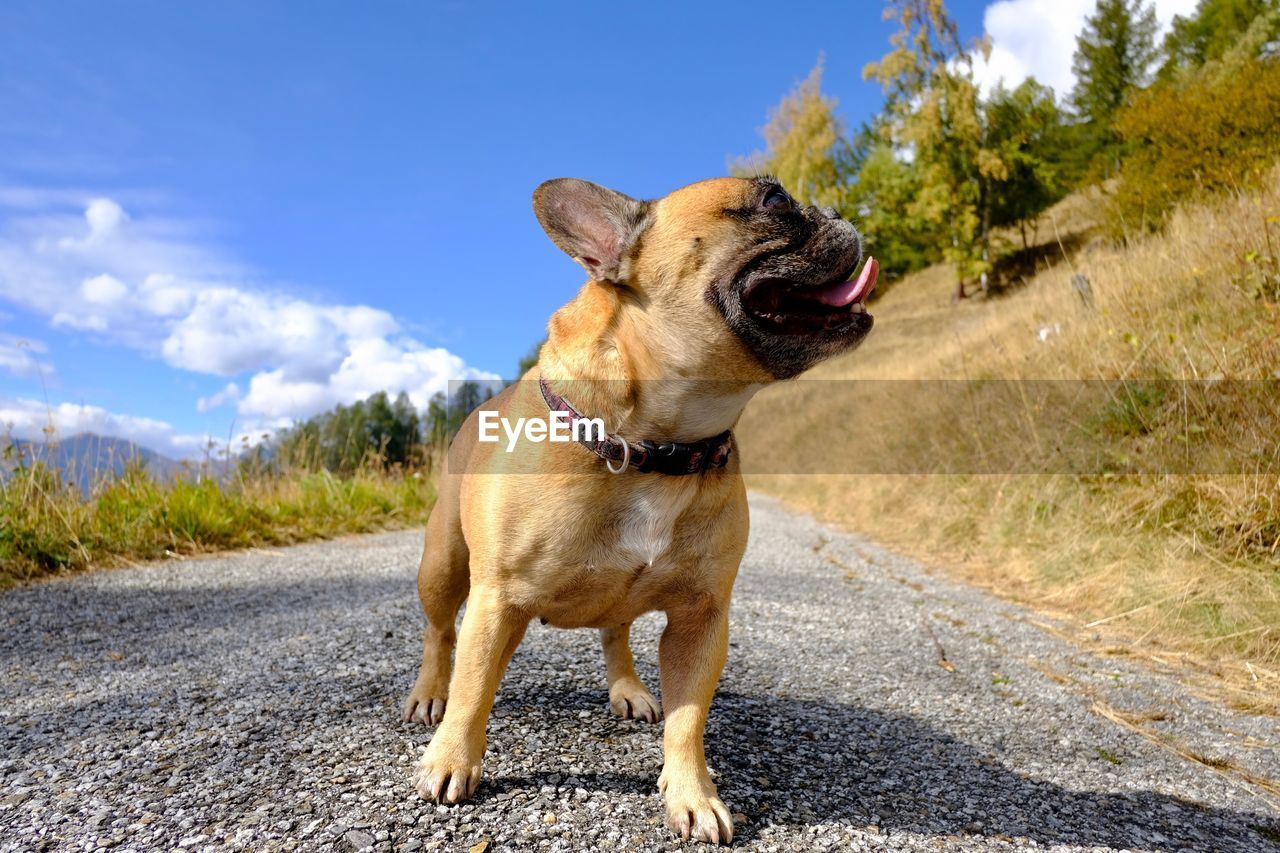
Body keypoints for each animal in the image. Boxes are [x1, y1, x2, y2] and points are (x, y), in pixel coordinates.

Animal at [404, 175, 875, 840]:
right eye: (776, 200)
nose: (836, 209)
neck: (658, 443)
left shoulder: (702, 618)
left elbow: (689, 718)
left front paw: (693, 793)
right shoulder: (497, 600)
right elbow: (473, 688)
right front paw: (451, 760)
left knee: (615, 631)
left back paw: (628, 688)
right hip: (443, 563)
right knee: (441, 632)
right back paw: (428, 695)